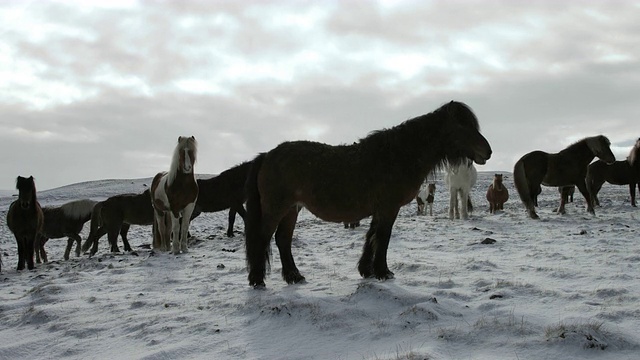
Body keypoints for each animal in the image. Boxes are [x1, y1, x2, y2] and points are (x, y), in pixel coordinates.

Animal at [244, 100, 490, 286]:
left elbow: (371, 237)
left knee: (283, 240)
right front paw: (383, 272)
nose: (487, 151)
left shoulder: (379, 209)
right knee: (263, 238)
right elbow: (382, 238)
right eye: (462, 126)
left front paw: (367, 270)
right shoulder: (389, 208)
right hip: (276, 208)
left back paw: (294, 276)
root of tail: (267, 155)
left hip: (291, 209)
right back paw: (257, 280)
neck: (399, 155)